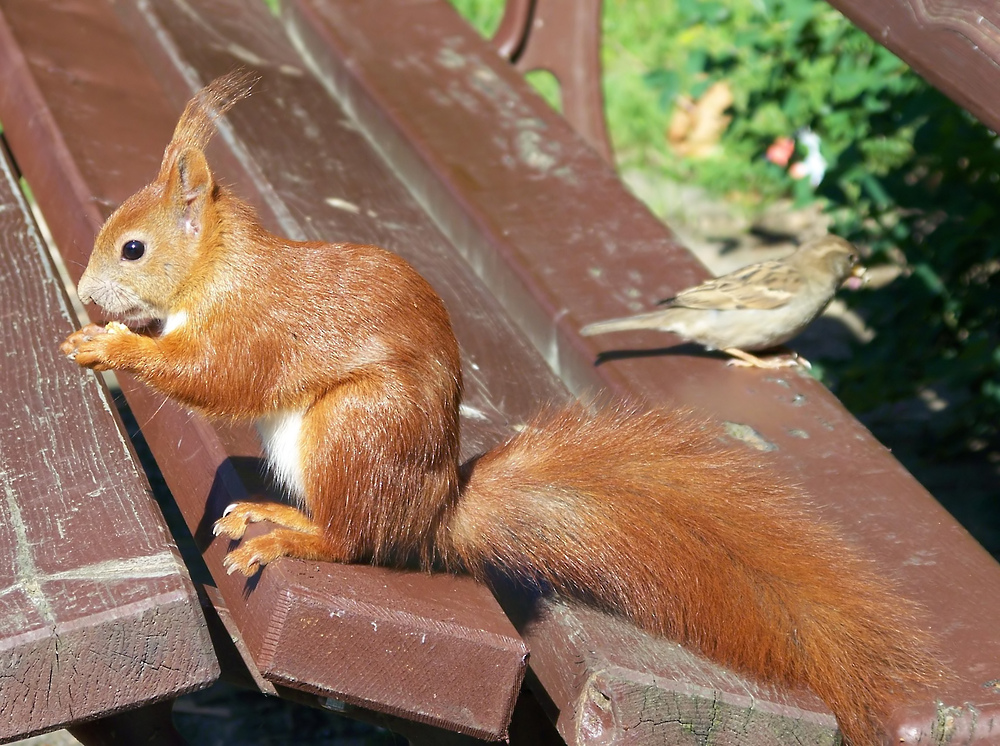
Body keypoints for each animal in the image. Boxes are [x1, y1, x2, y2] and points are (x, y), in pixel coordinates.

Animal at [60, 72, 936, 740]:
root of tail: (430, 515)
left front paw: (114, 348)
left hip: (356, 429)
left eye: (134, 248)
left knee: (355, 539)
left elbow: (217, 375)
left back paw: (290, 532)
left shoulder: (259, 324)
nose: (84, 290)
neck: (218, 271)